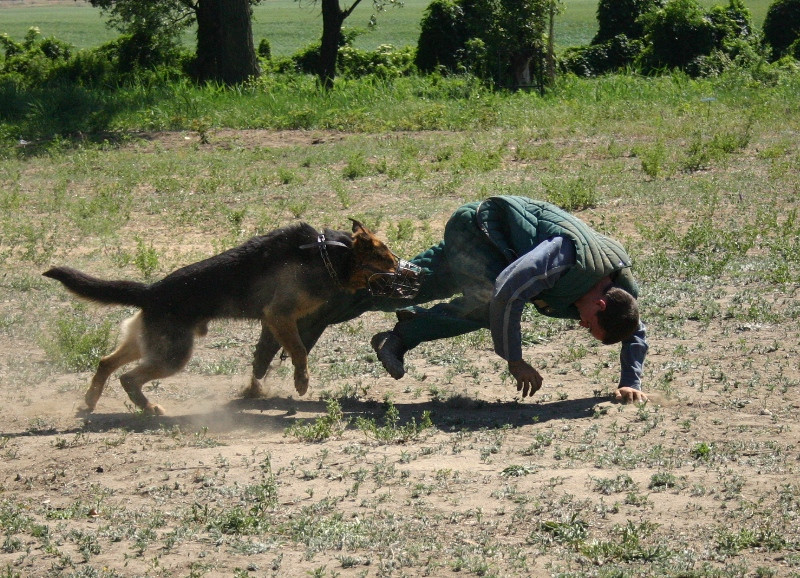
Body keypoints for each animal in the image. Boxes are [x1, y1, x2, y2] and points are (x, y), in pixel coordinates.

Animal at [43, 218, 418, 412]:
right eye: (389, 260)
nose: (415, 276)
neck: (332, 254)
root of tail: (151, 291)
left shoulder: (275, 323)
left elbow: (272, 354)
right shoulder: (279, 315)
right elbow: (298, 351)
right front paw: (301, 381)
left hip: (150, 342)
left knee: (106, 362)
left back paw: (90, 402)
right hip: (173, 353)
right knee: (127, 378)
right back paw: (149, 409)